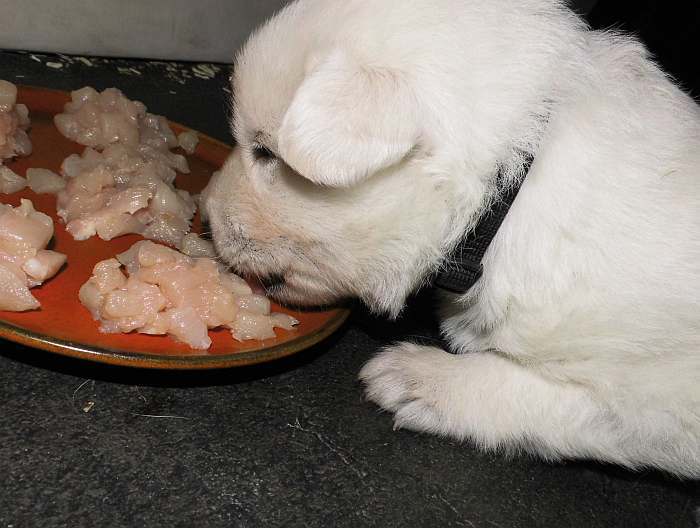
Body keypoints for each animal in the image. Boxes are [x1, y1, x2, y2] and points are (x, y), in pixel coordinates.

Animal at [204, 0, 700, 476]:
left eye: (265, 151)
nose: (205, 213)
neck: (505, 193)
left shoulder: (668, 393)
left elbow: (567, 398)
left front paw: (419, 377)